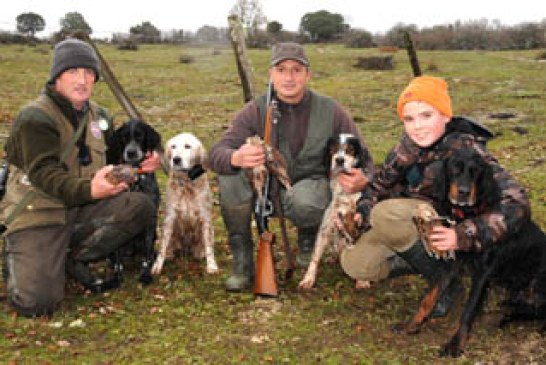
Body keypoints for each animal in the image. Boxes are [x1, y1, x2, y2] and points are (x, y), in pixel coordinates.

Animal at [150, 132, 218, 274]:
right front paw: (157, 266)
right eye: (173, 146)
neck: (186, 183)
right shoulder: (169, 219)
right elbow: (162, 247)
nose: (176, 159)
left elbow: (209, 246)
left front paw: (211, 265)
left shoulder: (205, 218)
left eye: (187, 146)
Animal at [298, 134, 370, 290]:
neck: (345, 196)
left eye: (350, 149)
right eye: (333, 148)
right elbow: (315, 257)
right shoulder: (325, 228)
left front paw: (362, 281)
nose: (339, 160)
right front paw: (308, 279)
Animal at [396, 144, 544, 356]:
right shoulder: (451, 260)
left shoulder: (484, 271)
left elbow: (469, 309)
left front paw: (455, 344)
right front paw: (412, 325)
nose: (463, 192)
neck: (468, 214)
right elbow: (429, 296)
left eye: (476, 171)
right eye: (454, 169)